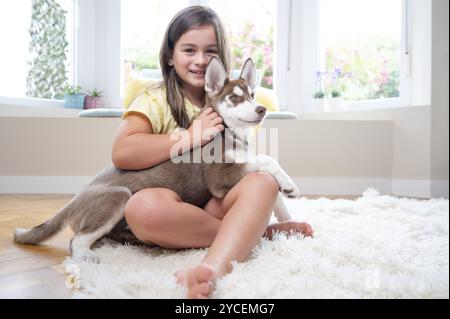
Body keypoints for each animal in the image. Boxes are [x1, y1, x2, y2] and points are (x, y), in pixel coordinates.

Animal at [14, 58, 300, 262]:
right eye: (235, 98)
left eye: (252, 95)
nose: (262, 109)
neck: (229, 132)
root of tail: (75, 199)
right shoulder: (220, 178)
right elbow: (267, 160)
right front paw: (290, 185)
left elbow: (273, 188)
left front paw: (286, 214)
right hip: (118, 196)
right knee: (76, 240)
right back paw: (86, 255)